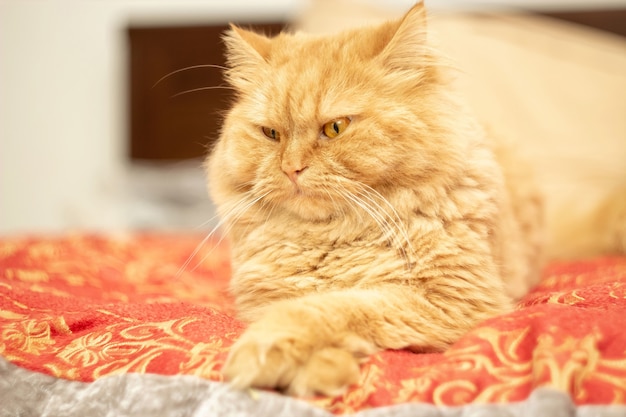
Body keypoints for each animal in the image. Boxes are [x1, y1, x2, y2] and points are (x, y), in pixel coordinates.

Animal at [206, 1, 620, 394]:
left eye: (335, 128)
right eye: (271, 134)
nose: (291, 168)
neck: (334, 237)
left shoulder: (451, 297)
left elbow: (330, 308)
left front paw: (278, 355)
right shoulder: (264, 297)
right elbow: (309, 307)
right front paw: (323, 368)